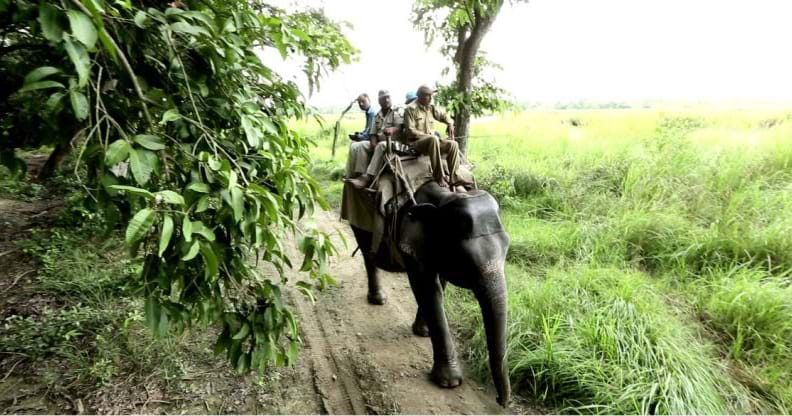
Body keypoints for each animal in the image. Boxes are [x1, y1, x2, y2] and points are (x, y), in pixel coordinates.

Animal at [348, 181, 510, 406]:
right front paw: (450, 383)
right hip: (358, 223)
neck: (443, 198)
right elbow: (427, 288)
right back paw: (378, 300)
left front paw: (422, 333)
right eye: (466, 259)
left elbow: (438, 284)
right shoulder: (410, 240)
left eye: (507, 248)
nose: (500, 401)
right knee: (367, 254)